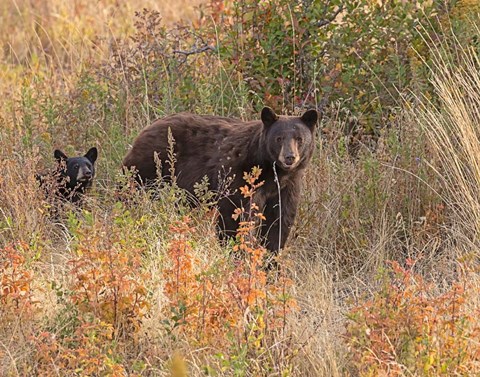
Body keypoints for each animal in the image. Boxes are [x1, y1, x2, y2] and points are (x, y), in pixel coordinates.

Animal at [124, 106, 318, 253]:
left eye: (299, 139)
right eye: (278, 138)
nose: (289, 157)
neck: (271, 171)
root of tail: (146, 129)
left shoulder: (286, 187)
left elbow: (280, 221)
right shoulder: (237, 176)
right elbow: (234, 215)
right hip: (148, 169)